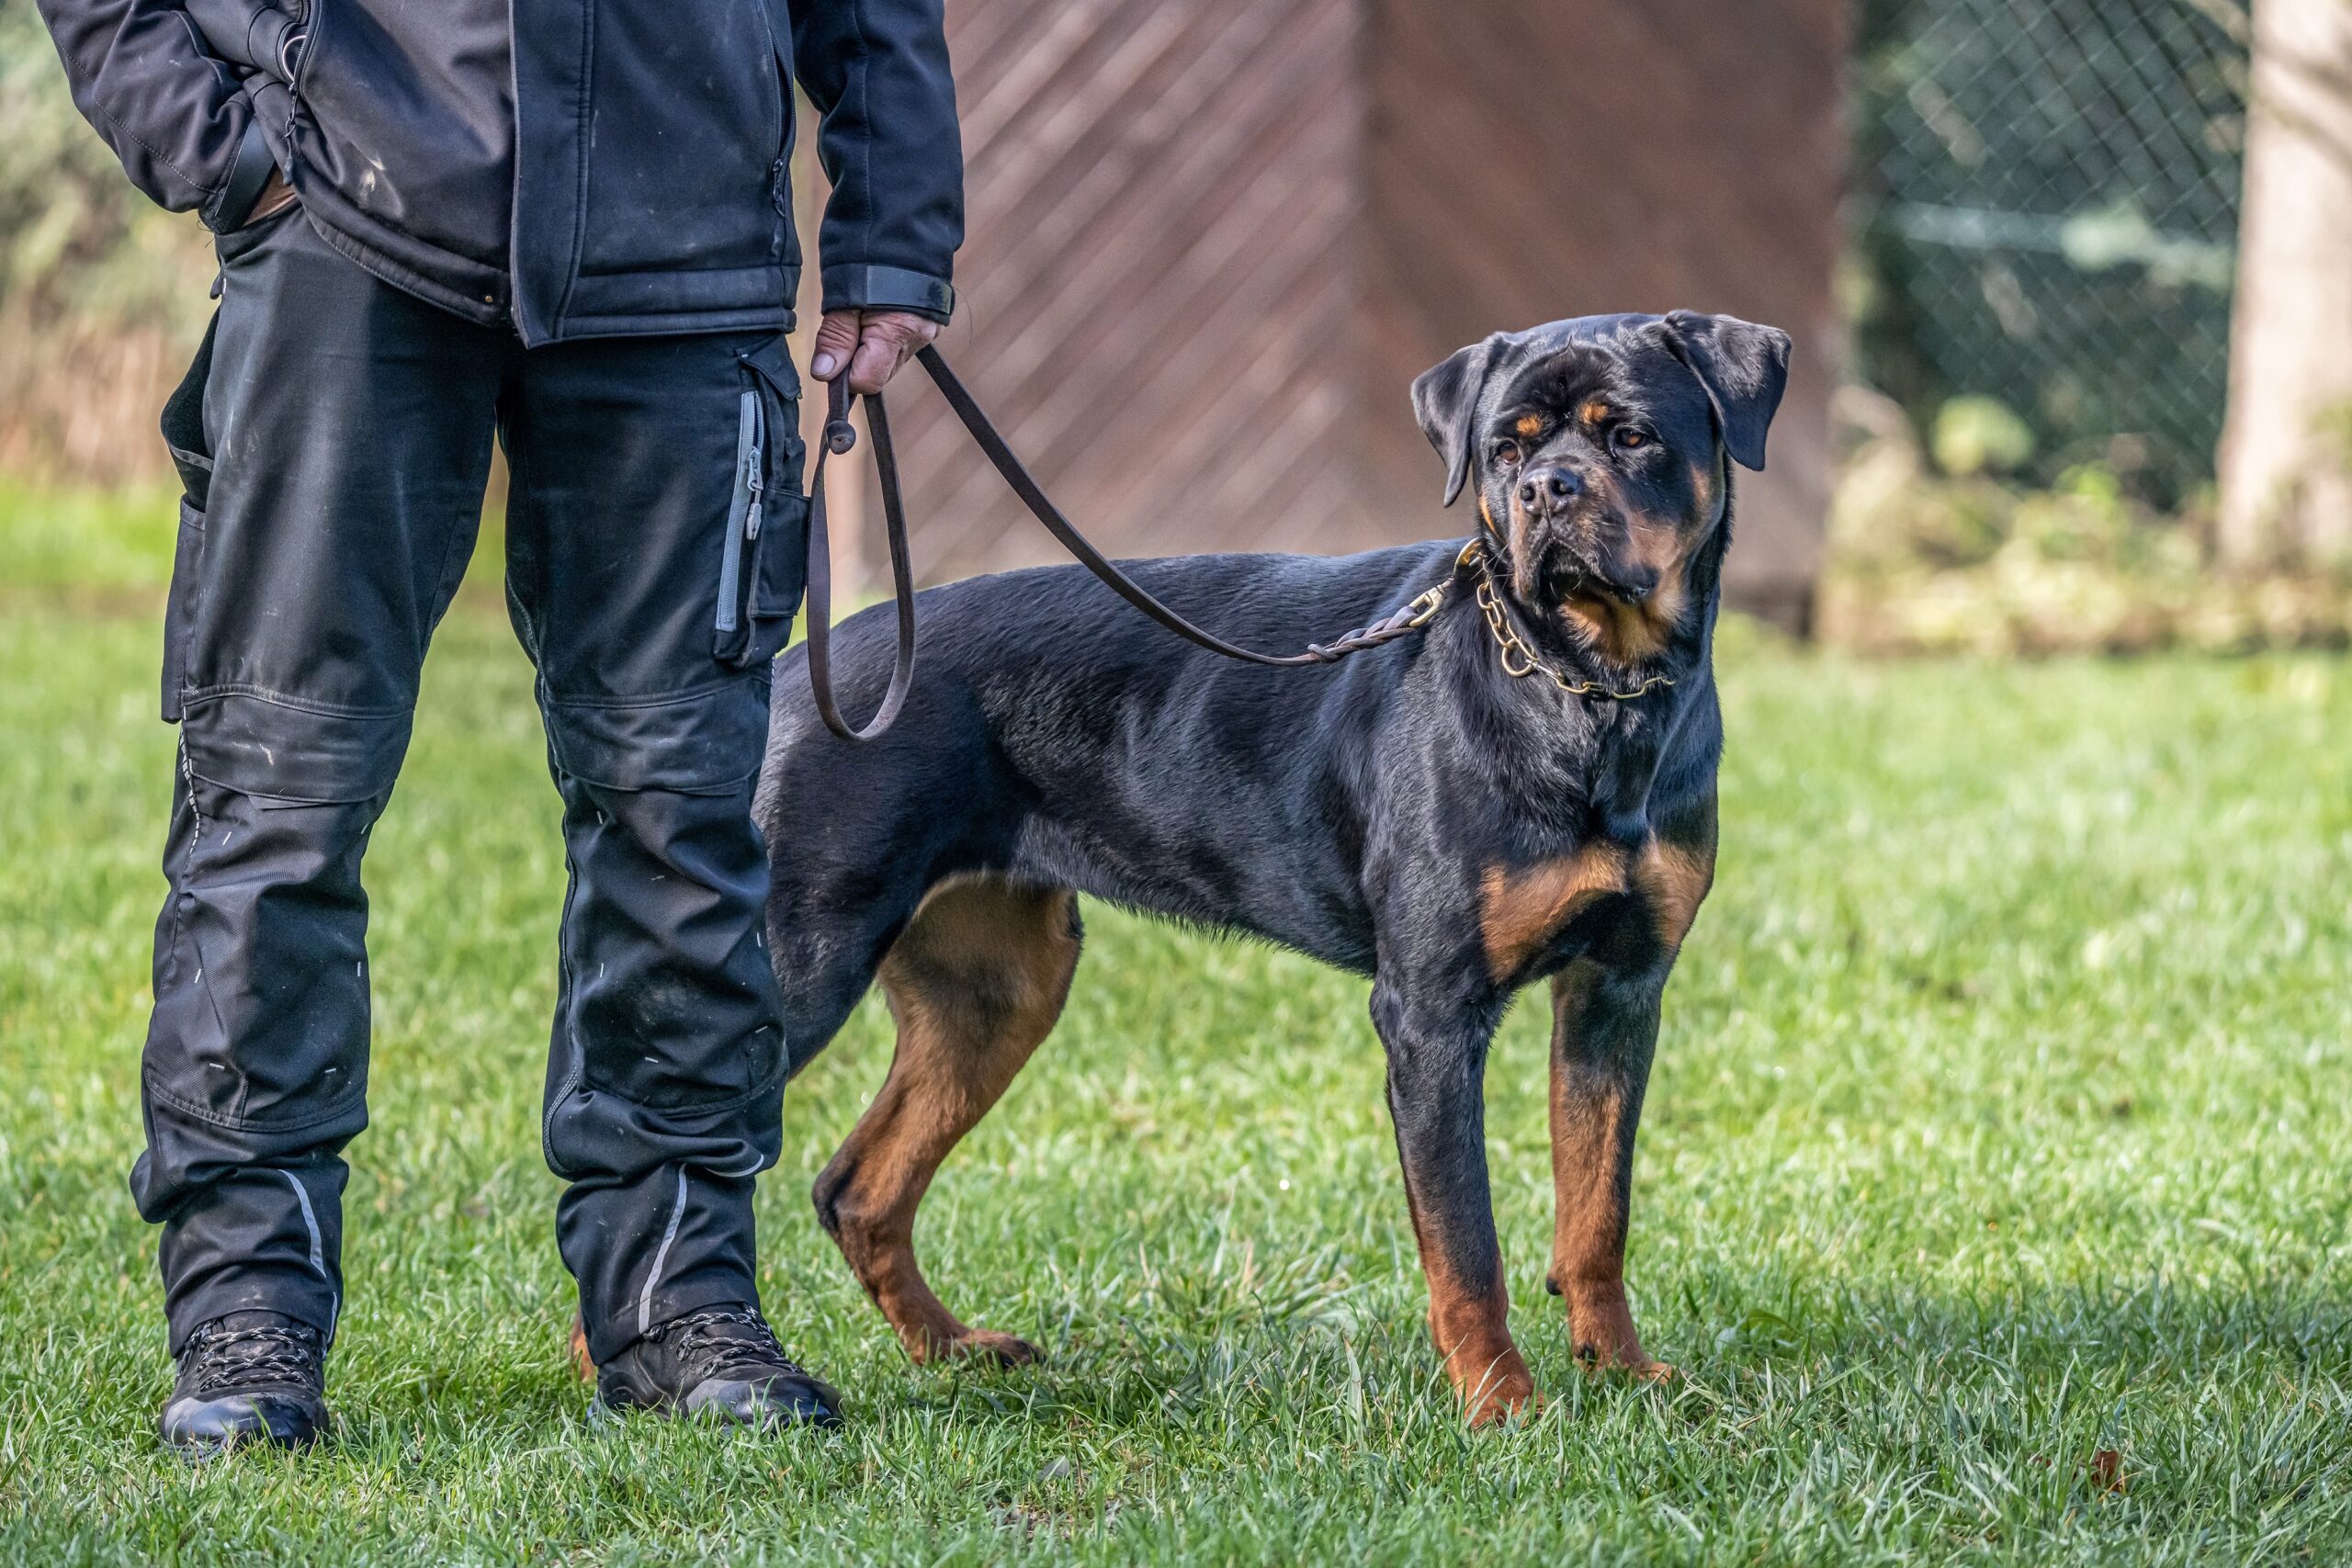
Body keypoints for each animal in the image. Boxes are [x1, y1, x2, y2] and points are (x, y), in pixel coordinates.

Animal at [762, 312, 1787, 1429]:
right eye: (1503, 450)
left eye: (1630, 436)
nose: (1545, 491)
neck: (1590, 691)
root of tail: (793, 670)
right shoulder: (1431, 1012)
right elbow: (1465, 1241)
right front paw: (1499, 1404)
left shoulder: (1618, 987)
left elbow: (1598, 1207)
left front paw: (1621, 1374)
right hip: (799, 964)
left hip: (997, 989)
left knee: (858, 1188)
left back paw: (955, 1351)